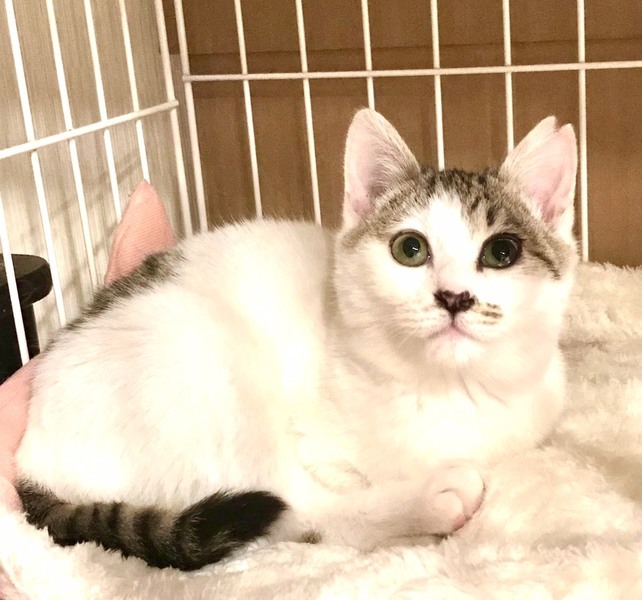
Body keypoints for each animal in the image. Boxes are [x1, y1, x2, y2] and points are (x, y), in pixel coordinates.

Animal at [15, 109, 578, 571]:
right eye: (410, 249)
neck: (448, 388)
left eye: (502, 252)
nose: (454, 297)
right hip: (201, 351)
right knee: (294, 507)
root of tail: (30, 459)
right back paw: (433, 498)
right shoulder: (317, 442)